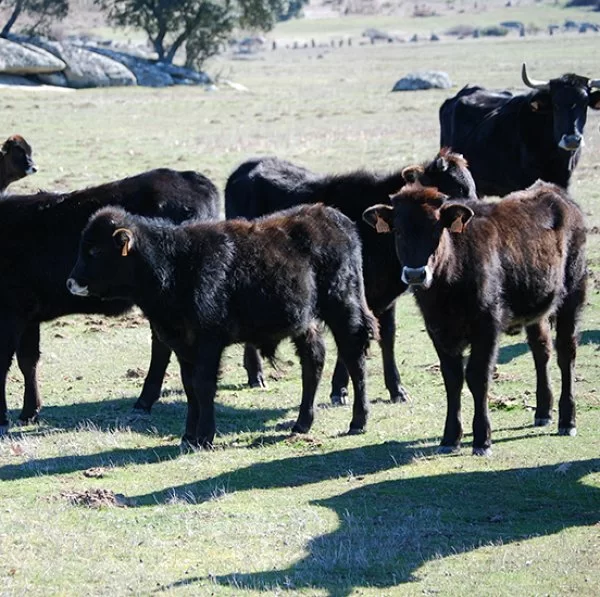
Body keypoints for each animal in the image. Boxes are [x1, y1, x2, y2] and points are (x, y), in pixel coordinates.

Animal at [0, 168, 219, 434]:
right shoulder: (28, 316)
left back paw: (144, 400)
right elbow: (28, 360)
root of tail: (190, 177)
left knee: (162, 347)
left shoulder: (11, 313)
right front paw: (30, 411)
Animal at [68, 204, 378, 448]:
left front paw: (205, 436)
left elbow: (204, 386)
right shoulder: (183, 346)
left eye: (94, 250)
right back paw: (302, 423)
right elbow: (190, 387)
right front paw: (188, 436)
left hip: (344, 308)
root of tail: (336, 219)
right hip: (306, 323)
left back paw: (358, 421)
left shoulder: (208, 342)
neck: (175, 264)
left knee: (354, 358)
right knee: (313, 361)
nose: (71, 282)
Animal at [223, 148, 476, 406]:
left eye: (470, 188)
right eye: (451, 191)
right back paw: (256, 374)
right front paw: (339, 389)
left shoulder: (385, 297)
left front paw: (396, 389)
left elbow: (387, 336)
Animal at [364, 179, 588, 454]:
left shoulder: (487, 327)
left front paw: (482, 439)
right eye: (398, 231)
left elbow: (477, 376)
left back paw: (567, 421)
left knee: (566, 353)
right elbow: (452, 378)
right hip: (537, 308)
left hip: (573, 293)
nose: (416, 274)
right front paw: (450, 438)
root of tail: (554, 192)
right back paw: (543, 412)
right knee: (541, 350)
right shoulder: (438, 330)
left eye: (436, 228)